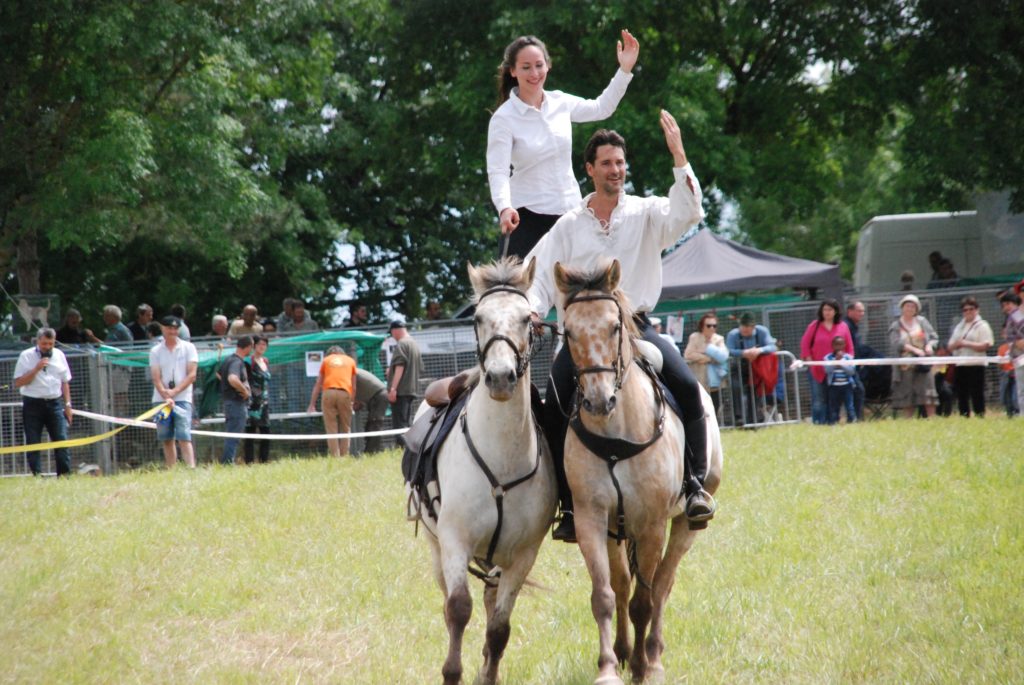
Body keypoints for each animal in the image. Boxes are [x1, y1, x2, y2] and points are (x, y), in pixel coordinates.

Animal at [409, 256, 556, 685]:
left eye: (527, 318)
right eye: (477, 318)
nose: (501, 377)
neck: (501, 457)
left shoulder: (523, 555)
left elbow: (499, 627)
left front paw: (488, 673)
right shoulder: (454, 540)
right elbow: (458, 609)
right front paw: (452, 672)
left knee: (491, 600)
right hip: (436, 546)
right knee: (449, 601)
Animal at [554, 258, 723, 685]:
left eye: (615, 326)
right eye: (569, 330)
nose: (598, 401)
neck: (617, 432)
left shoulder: (651, 525)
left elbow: (645, 600)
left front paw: (644, 670)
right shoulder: (592, 519)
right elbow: (605, 595)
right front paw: (609, 668)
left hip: (682, 526)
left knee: (662, 585)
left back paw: (653, 656)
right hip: (616, 530)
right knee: (622, 584)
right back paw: (624, 651)